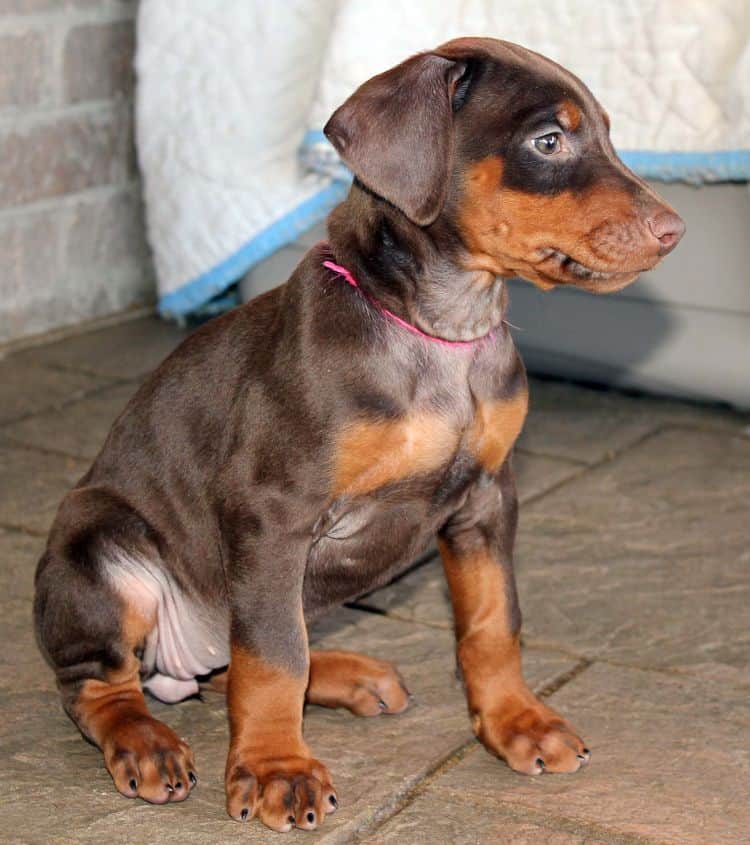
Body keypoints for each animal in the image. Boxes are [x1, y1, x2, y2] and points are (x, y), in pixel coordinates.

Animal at [35, 38, 684, 832]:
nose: (673, 231)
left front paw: (516, 721)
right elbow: (275, 656)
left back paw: (347, 675)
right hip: (98, 544)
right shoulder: (273, 511)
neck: (443, 331)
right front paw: (277, 768)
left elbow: (493, 620)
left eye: (610, 134)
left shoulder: (488, 498)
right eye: (549, 141)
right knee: (106, 682)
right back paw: (145, 741)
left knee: (231, 661)